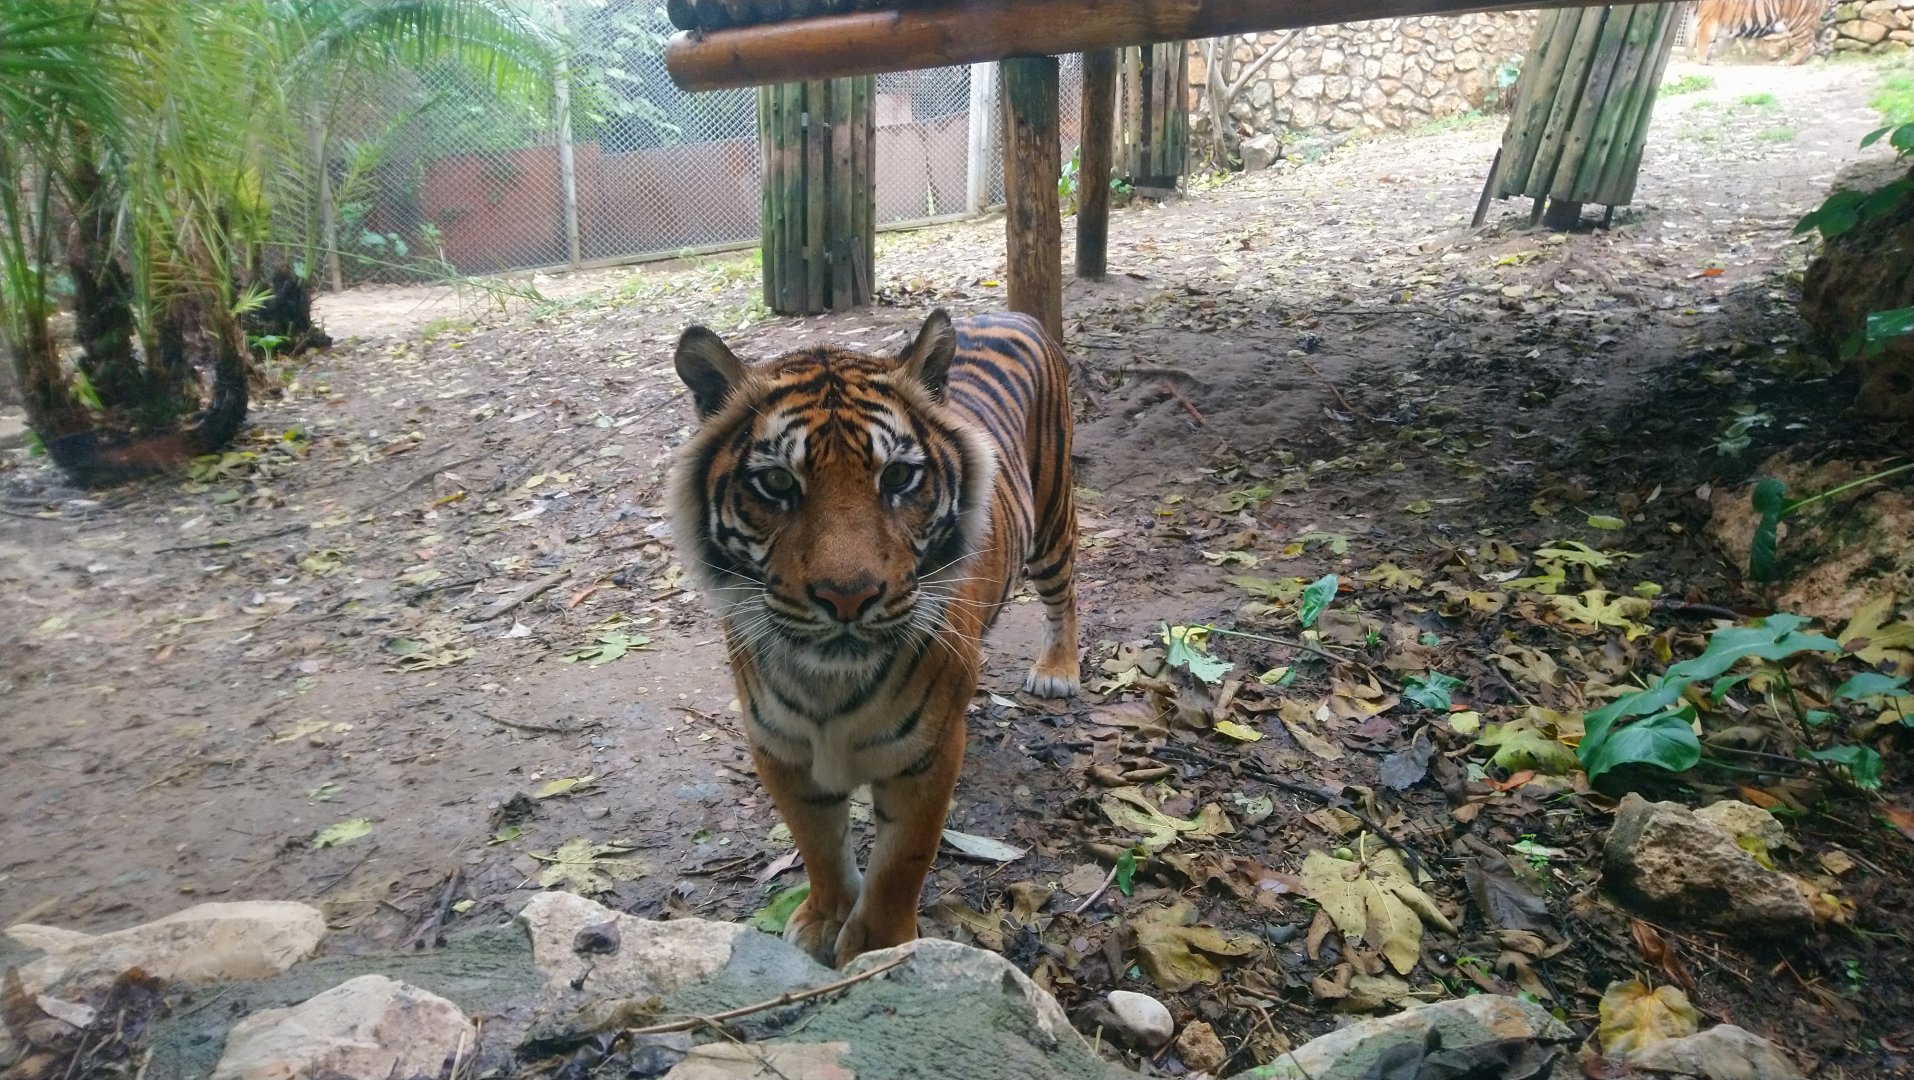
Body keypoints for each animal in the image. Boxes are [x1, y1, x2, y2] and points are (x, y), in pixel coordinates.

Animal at [668, 308, 1081, 968]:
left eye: (901, 477)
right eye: (777, 482)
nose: (847, 597)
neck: (828, 683)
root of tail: (1012, 311)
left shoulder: (925, 758)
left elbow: (901, 861)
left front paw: (882, 949)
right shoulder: (780, 750)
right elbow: (818, 844)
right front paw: (824, 919)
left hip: (1052, 519)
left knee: (1065, 594)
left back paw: (1058, 671)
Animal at [1691, 0, 1828, 64]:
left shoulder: (1706, 23)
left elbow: (1702, 43)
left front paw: (1700, 61)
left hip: (1798, 23)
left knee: (1806, 45)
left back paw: (1788, 62)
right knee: (1813, 44)